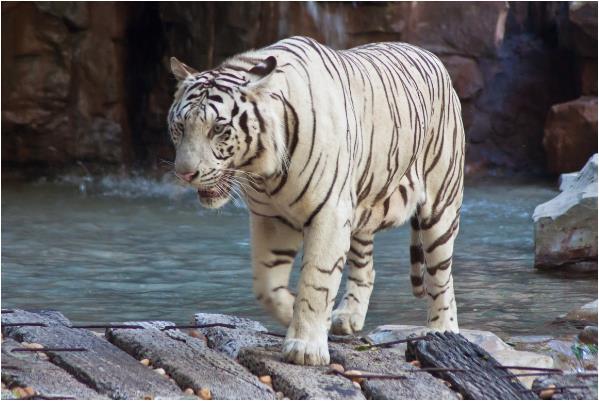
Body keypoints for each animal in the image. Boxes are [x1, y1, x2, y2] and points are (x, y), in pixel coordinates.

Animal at [166, 36, 466, 364]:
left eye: (218, 129)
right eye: (180, 126)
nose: (185, 173)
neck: (263, 174)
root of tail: (429, 54)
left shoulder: (330, 214)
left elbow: (316, 281)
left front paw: (305, 347)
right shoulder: (272, 218)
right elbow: (266, 285)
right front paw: (291, 312)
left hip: (440, 204)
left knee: (441, 274)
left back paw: (442, 329)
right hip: (361, 206)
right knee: (366, 266)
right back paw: (347, 317)